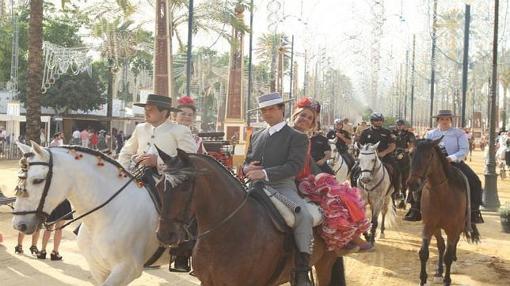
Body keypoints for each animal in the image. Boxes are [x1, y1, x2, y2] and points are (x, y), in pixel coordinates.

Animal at [404, 137, 480, 284]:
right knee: (441, 245)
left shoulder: (453, 228)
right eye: (410, 154)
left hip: (459, 226)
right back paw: (439, 271)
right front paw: (423, 279)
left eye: (429, 155)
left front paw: (447, 279)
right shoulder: (429, 225)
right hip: (437, 228)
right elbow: (424, 253)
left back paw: (453, 264)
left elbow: (448, 255)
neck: (441, 195)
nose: (412, 183)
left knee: (453, 245)